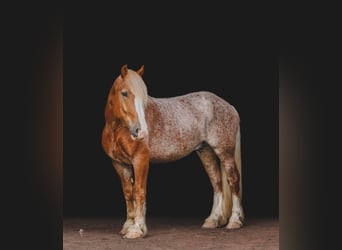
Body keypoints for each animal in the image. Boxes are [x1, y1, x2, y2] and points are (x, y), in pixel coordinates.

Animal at [100, 64, 244, 238]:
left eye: (144, 96)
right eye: (124, 93)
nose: (141, 131)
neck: (117, 129)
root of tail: (229, 106)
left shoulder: (140, 160)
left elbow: (139, 192)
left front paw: (137, 229)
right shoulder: (119, 164)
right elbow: (128, 194)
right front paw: (128, 225)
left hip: (225, 152)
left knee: (233, 180)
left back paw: (234, 221)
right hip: (206, 151)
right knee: (217, 182)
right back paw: (213, 220)